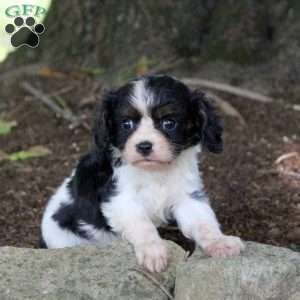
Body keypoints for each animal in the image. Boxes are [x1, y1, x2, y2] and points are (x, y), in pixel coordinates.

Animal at [41, 74, 245, 272]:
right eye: (127, 124)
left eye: (169, 123)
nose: (144, 146)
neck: (156, 171)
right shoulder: (120, 200)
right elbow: (142, 225)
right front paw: (153, 251)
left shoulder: (187, 197)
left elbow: (203, 222)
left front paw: (220, 243)